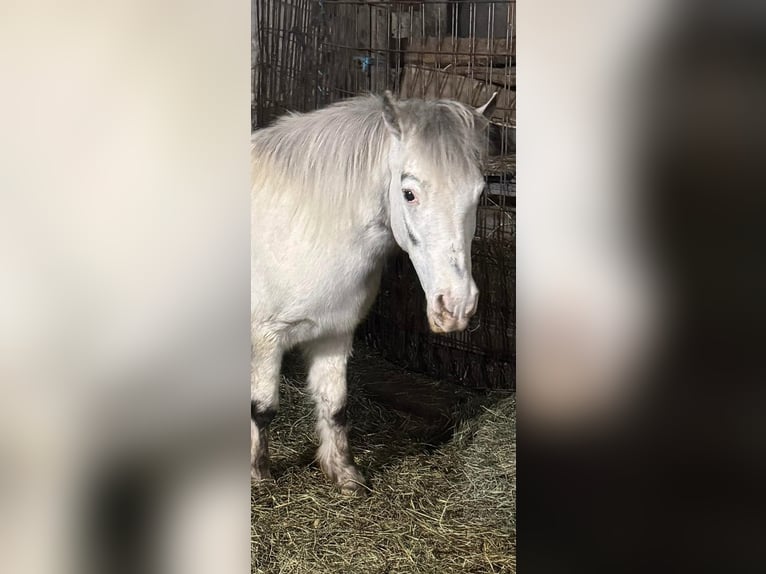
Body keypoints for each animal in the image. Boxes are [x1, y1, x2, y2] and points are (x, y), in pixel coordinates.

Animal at [254, 90, 498, 496]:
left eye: (478, 193)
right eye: (409, 193)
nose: (456, 307)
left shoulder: (334, 332)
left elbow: (335, 405)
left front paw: (345, 475)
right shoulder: (265, 339)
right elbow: (262, 410)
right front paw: (259, 476)